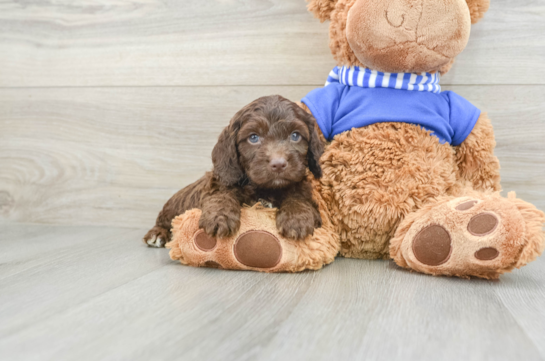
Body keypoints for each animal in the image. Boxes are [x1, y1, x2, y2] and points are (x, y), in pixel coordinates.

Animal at [143, 95, 324, 248]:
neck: (266, 189)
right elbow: (221, 194)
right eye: (253, 137)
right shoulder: (220, 180)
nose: (278, 164)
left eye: (295, 135)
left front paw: (297, 218)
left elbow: (299, 197)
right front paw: (219, 217)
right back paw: (157, 234)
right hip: (172, 207)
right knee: (164, 220)